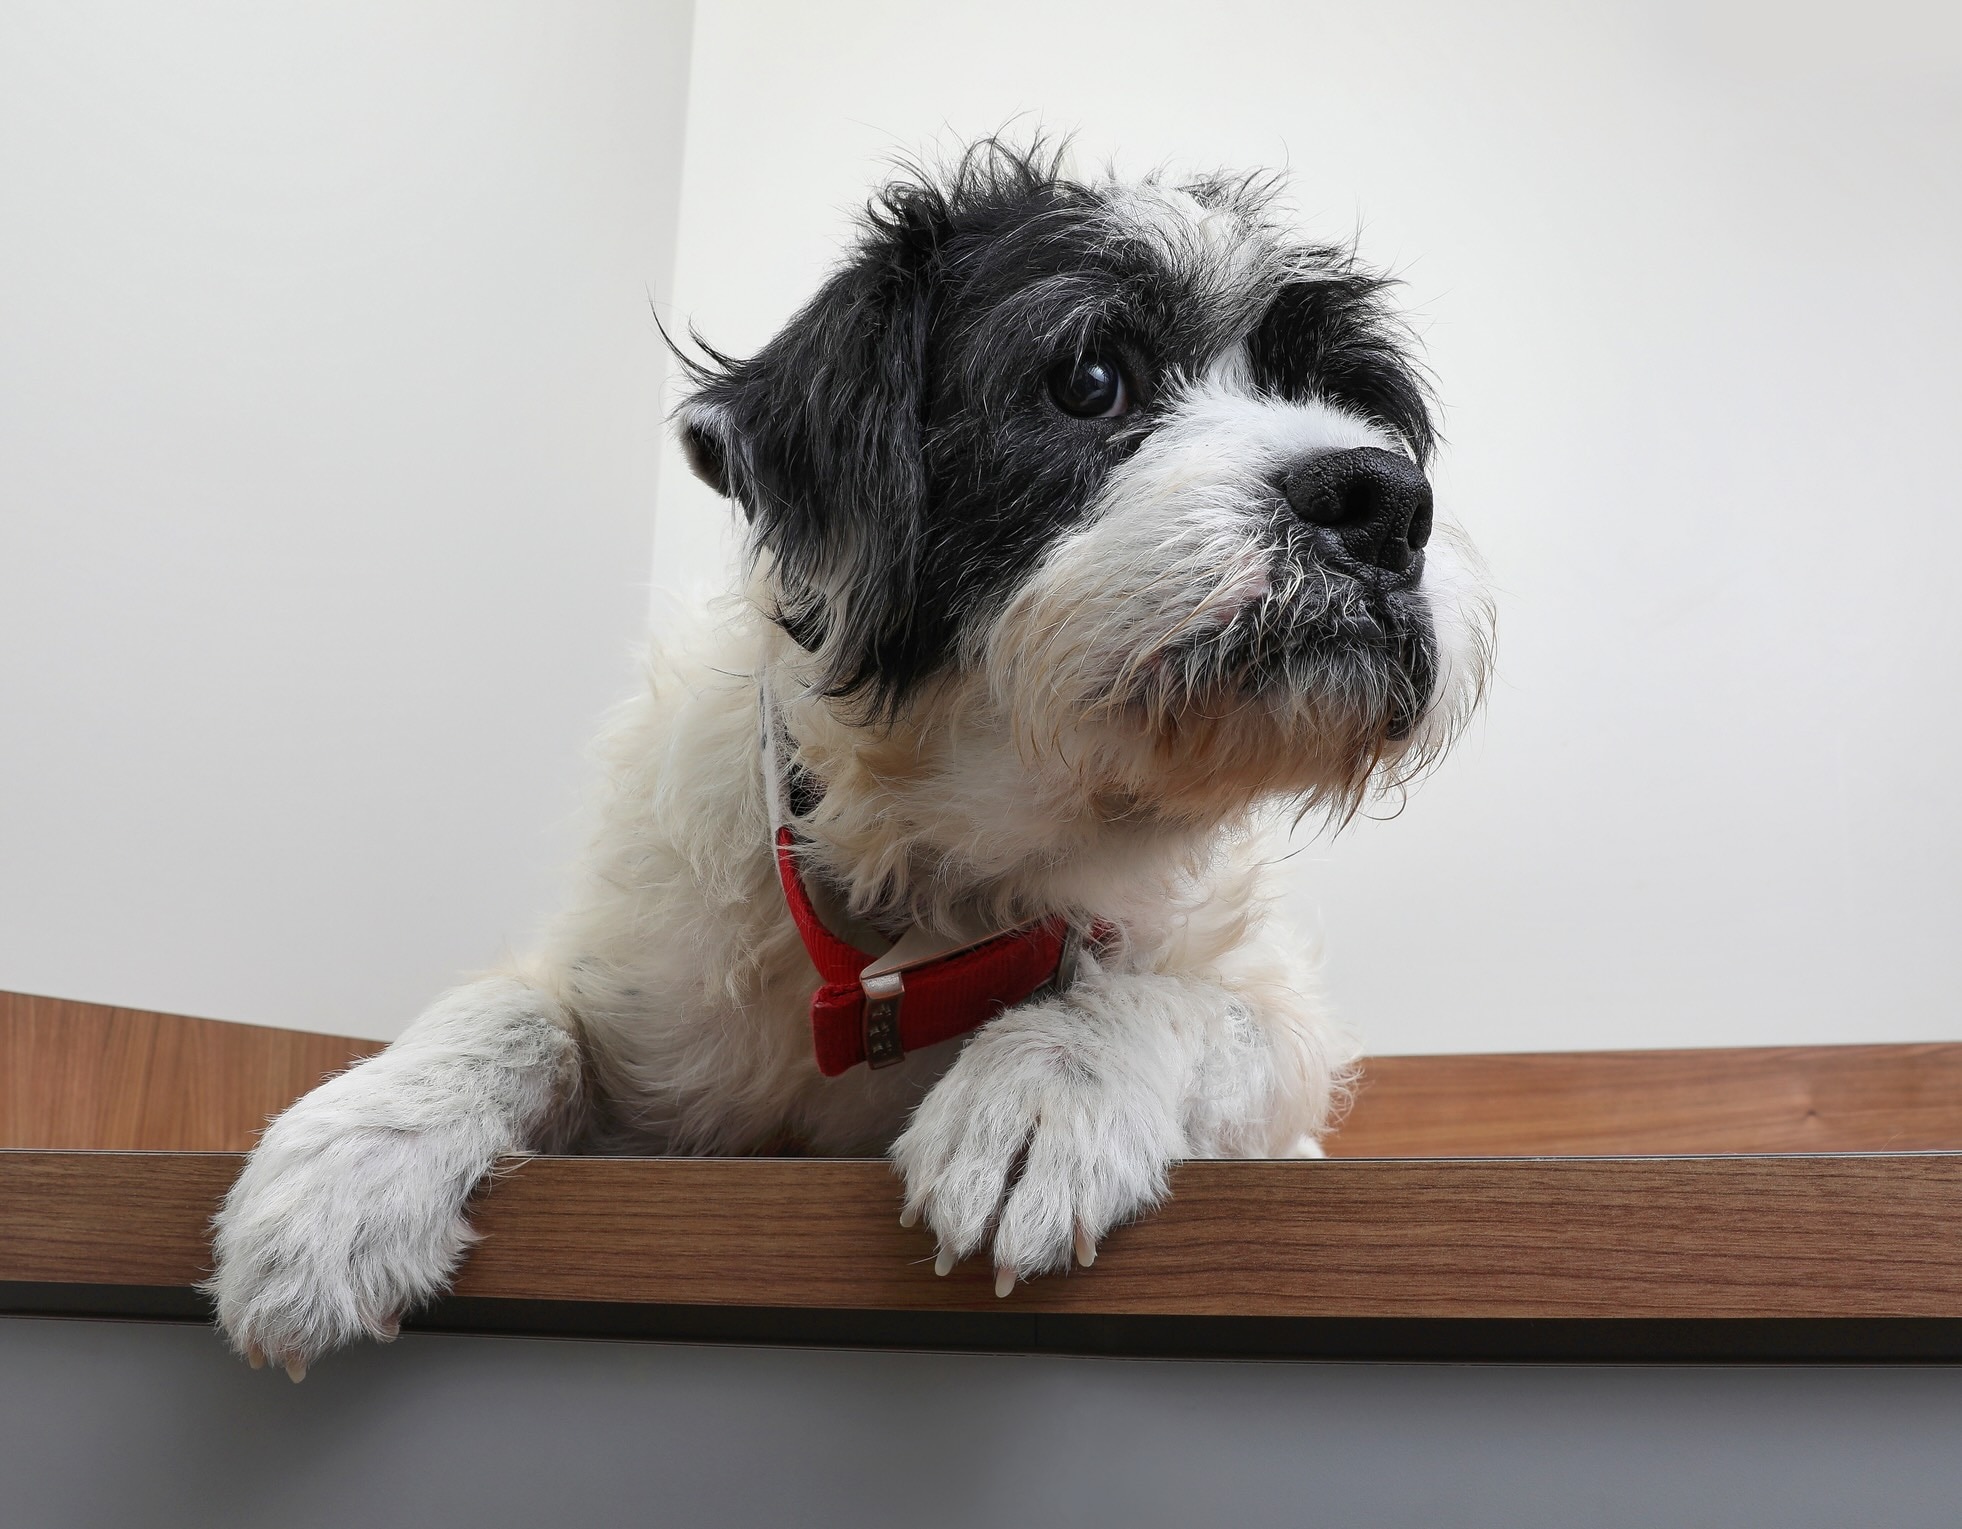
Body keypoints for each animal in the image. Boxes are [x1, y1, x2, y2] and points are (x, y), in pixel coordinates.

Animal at [203, 143, 1483, 1381]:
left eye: (1348, 401)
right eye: (1088, 379)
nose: (1383, 500)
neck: (927, 913)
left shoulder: (1262, 1027)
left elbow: (1186, 997)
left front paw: (1042, 1082)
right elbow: (521, 1003)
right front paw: (349, 1164)